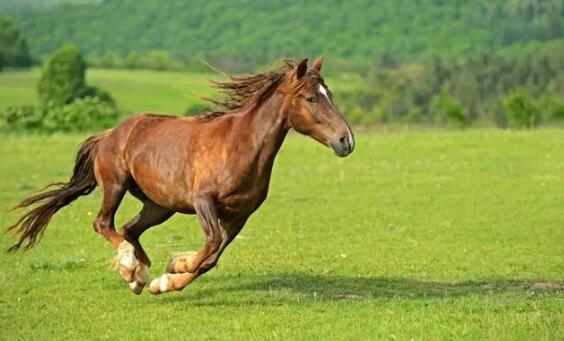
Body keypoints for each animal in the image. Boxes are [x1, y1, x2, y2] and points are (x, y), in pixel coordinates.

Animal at [6, 57, 354, 294]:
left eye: (329, 94)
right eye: (312, 98)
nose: (346, 141)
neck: (241, 145)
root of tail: (109, 133)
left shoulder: (240, 214)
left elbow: (212, 256)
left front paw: (167, 275)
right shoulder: (203, 201)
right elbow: (211, 244)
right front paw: (173, 271)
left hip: (160, 206)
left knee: (130, 229)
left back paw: (138, 277)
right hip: (116, 185)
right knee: (104, 223)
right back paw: (129, 267)